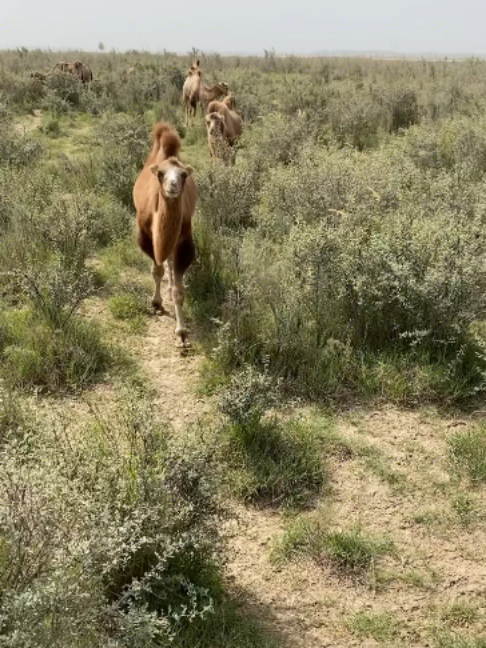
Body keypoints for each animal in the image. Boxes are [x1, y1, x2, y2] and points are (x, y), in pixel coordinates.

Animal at [133, 122, 197, 347]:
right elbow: (157, 271)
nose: (173, 185)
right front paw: (156, 303)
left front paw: (182, 333)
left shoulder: (184, 241)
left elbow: (179, 290)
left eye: (183, 175)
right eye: (161, 173)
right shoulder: (146, 238)